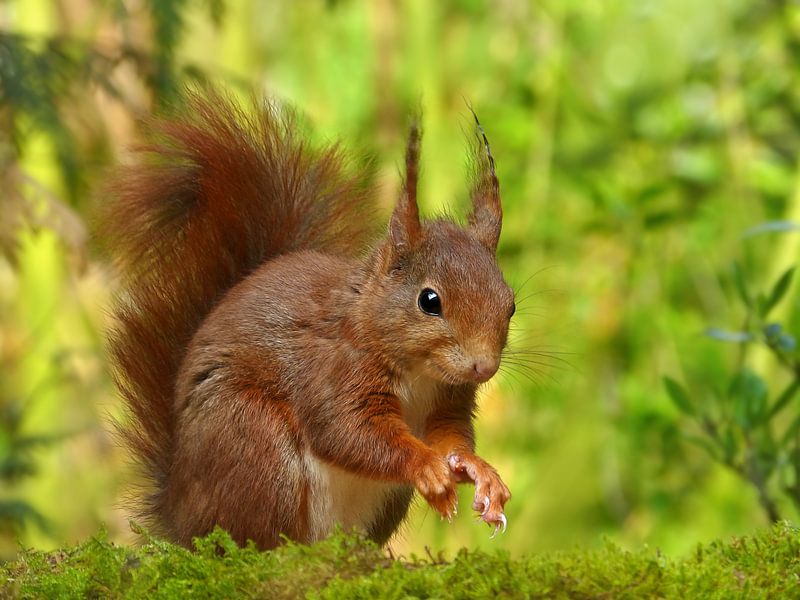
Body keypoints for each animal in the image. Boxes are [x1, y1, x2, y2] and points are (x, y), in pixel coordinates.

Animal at [103, 89, 514, 550]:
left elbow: (451, 439)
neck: (418, 372)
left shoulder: (447, 400)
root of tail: (179, 515)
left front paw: (480, 472)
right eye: (430, 300)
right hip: (255, 441)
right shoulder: (332, 373)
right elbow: (347, 432)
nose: (484, 367)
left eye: (511, 304)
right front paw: (425, 465)